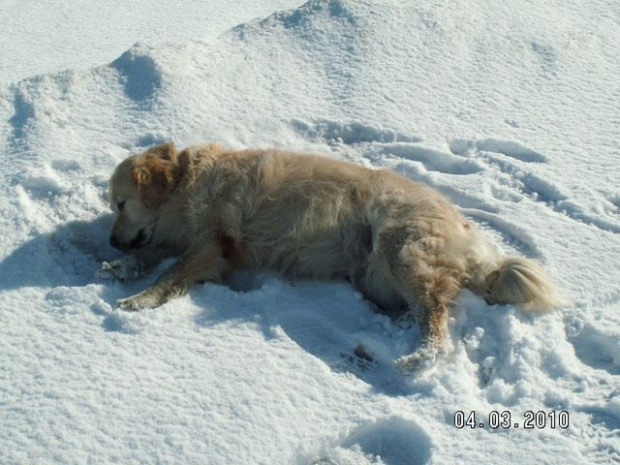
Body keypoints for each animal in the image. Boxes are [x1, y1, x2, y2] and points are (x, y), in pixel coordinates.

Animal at [98, 141, 556, 366]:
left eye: (120, 203)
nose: (112, 241)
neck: (185, 180)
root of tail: (470, 235)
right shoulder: (181, 237)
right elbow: (153, 251)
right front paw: (120, 266)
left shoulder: (213, 244)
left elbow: (171, 273)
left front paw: (137, 299)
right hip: (375, 273)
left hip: (400, 247)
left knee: (436, 317)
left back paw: (418, 357)